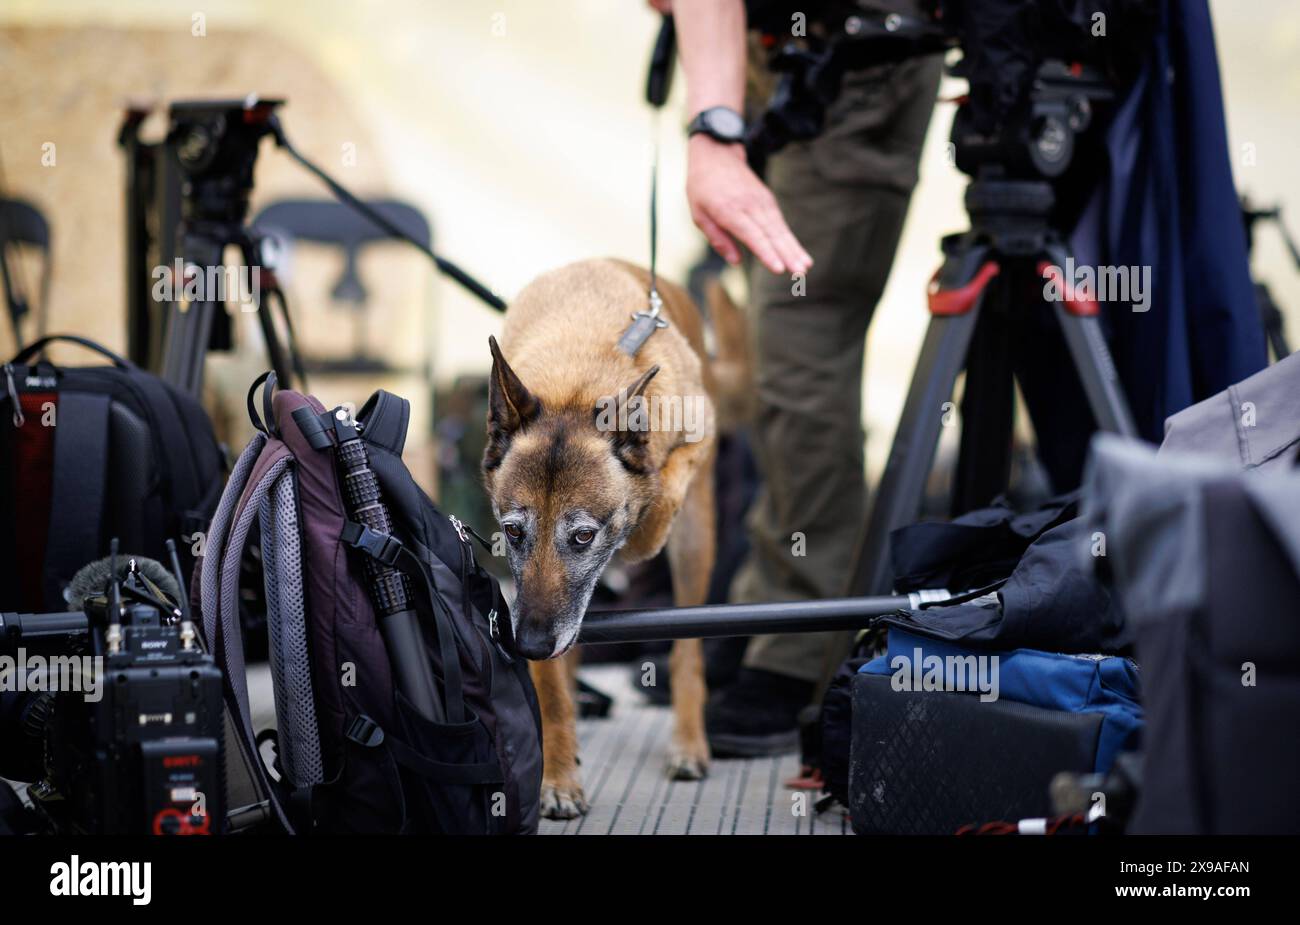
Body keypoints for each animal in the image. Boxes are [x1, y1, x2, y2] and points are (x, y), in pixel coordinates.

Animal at [480, 254, 748, 815]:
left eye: (583, 536)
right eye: (512, 531)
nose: (529, 643)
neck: (578, 384)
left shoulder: (697, 440)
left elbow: (657, 497)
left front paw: (640, 515)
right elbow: (551, 682)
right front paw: (559, 775)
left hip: (696, 543)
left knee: (688, 652)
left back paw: (689, 743)